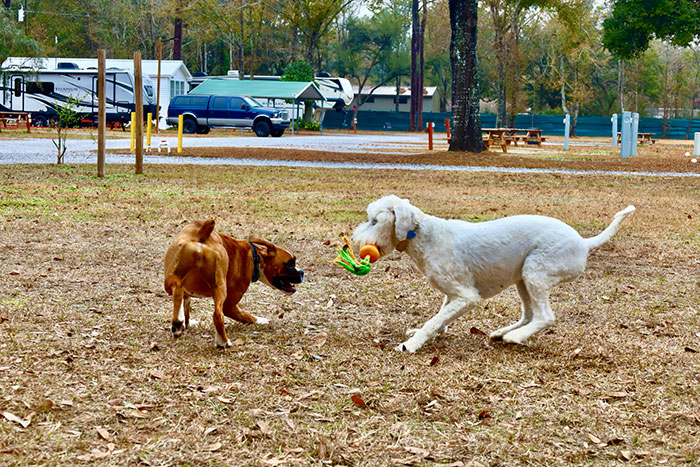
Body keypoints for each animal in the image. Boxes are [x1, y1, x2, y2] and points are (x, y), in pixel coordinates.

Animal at [167, 219, 306, 348]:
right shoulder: (229, 305)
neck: (255, 257)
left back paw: (177, 324)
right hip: (220, 286)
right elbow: (246, 316)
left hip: (170, 279)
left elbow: (184, 306)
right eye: (290, 264)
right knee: (217, 314)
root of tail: (202, 234)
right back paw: (223, 342)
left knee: (177, 290)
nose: (302, 272)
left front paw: (184, 323)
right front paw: (261, 320)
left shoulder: (186, 294)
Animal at [350, 196, 636, 352]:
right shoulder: (452, 294)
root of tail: (584, 243)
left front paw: (410, 345)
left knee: (545, 317)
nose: (354, 239)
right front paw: (424, 333)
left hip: (535, 273)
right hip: (523, 279)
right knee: (529, 315)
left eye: (374, 221)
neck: (422, 234)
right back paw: (502, 333)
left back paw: (515, 337)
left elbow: (435, 320)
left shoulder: (466, 296)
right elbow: (440, 318)